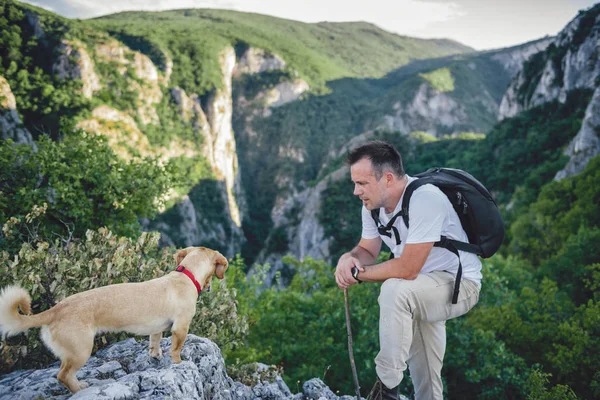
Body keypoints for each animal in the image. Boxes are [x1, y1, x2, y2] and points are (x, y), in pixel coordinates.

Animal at [0, 245, 227, 392]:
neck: (185, 275)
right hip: (81, 350)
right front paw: (179, 363)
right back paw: (79, 389)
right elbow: (176, 350)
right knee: (63, 375)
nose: (209, 287)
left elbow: (154, 342)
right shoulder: (181, 328)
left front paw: (155, 356)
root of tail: (56, 309)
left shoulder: (157, 329)